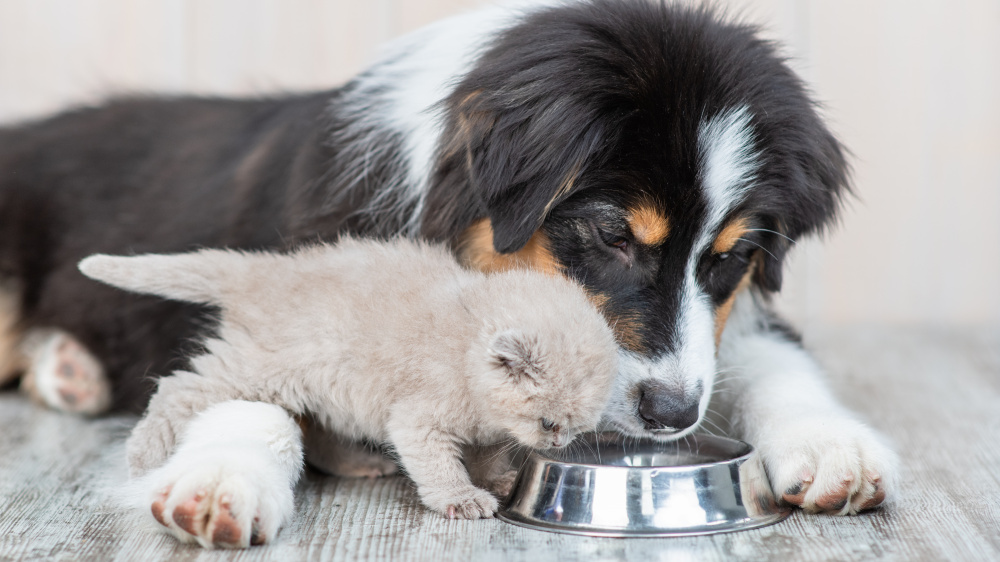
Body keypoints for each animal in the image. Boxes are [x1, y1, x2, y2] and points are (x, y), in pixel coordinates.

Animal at [82, 237, 616, 520]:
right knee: (177, 388)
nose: (561, 443)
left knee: (314, 430)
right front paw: (462, 499)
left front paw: (495, 477)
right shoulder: (417, 421)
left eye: (574, 426)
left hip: (316, 385)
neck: (465, 347)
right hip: (260, 369)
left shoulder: (483, 426)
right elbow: (440, 466)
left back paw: (357, 464)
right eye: (549, 423)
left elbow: (483, 453)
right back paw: (142, 457)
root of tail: (264, 268)